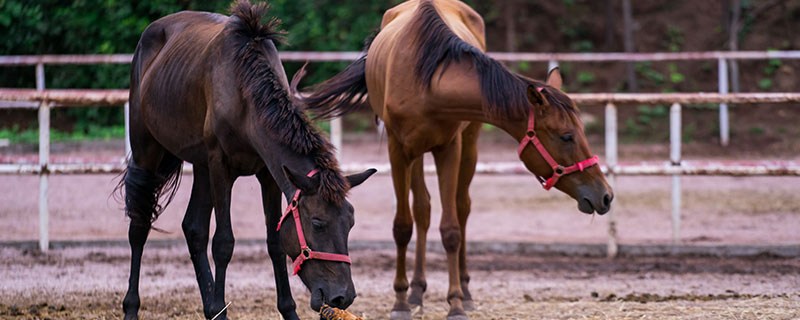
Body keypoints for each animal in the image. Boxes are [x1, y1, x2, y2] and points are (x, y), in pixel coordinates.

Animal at [121, 1, 376, 318]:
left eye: (350, 223)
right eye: (318, 224)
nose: (342, 297)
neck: (244, 92)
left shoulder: (269, 174)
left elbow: (275, 242)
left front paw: (287, 310)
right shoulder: (220, 166)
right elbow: (223, 243)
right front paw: (221, 304)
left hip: (201, 166)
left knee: (193, 229)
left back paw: (210, 309)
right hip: (148, 151)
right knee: (139, 225)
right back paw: (133, 306)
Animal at [304, 1, 612, 318]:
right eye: (567, 136)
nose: (605, 195)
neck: (425, 83)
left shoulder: (449, 148)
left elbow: (451, 229)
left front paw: (455, 303)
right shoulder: (398, 149)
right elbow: (403, 226)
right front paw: (401, 301)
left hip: (469, 144)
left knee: (461, 208)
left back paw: (464, 290)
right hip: (415, 154)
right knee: (422, 210)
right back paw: (416, 292)